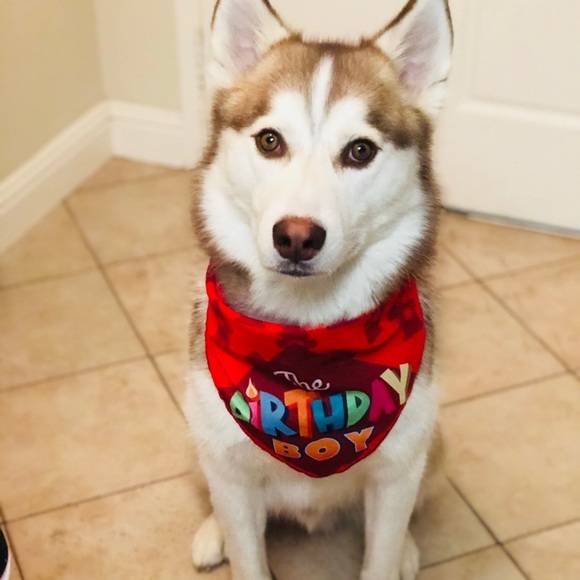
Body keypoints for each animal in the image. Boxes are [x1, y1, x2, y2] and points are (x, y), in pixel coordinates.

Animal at [184, 0, 452, 578]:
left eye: (360, 150)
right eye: (269, 140)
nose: (297, 237)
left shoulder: (396, 474)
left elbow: (381, 551)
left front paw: (393, 553)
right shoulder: (232, 474)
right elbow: (246, 553)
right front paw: (227, 538)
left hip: (430, 449)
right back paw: (212, 533)